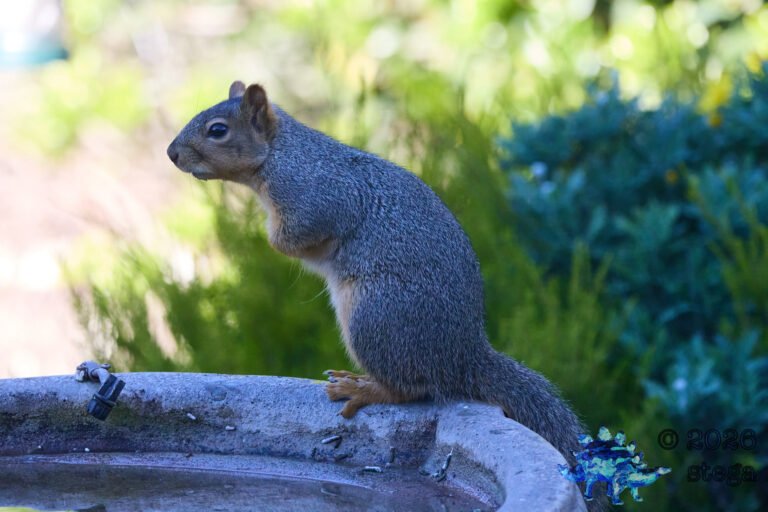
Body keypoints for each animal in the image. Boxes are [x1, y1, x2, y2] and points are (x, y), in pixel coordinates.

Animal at [168, 81, 597, 507]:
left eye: (218, 130)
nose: (172, 153)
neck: (280, 154)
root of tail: (462, 356)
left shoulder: (314, 197)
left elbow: (298, 236)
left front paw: (274, 242)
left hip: (376, 317)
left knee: (412, 388)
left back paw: (363, 388)